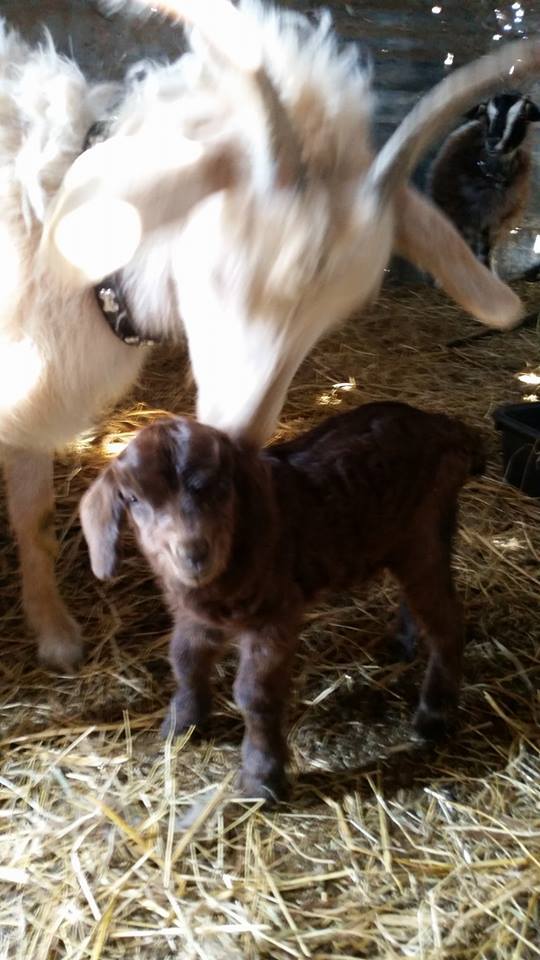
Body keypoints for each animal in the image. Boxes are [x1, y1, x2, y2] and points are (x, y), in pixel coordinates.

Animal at [80, 402, 484, 801]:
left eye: (221, 486)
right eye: (133, 499)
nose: (193, 554)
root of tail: (446, 428)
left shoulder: (275, 615)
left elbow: (254, 694)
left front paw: (262, 779)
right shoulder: (194, 619)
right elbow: (185, 660)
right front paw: (181, 724)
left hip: (422, 536)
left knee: (447, 621)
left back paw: (434, 715)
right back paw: (401, 643)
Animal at [427, 92, 540, 271]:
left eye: (522, 115)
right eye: (487, 115)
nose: (493, 140)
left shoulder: (495, 221)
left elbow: (486, 252)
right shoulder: (468, 217)